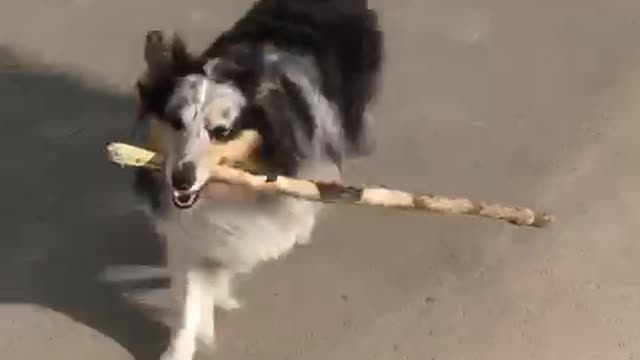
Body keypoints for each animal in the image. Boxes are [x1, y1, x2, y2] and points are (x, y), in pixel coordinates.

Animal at [130, 1, 380, 358]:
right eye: (176, 122)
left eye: (221, 132)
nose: (180, 180)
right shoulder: (188, 230)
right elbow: (191, 296)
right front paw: (185, 342)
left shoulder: (259, 223)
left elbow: (234, 256)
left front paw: (217, 296)